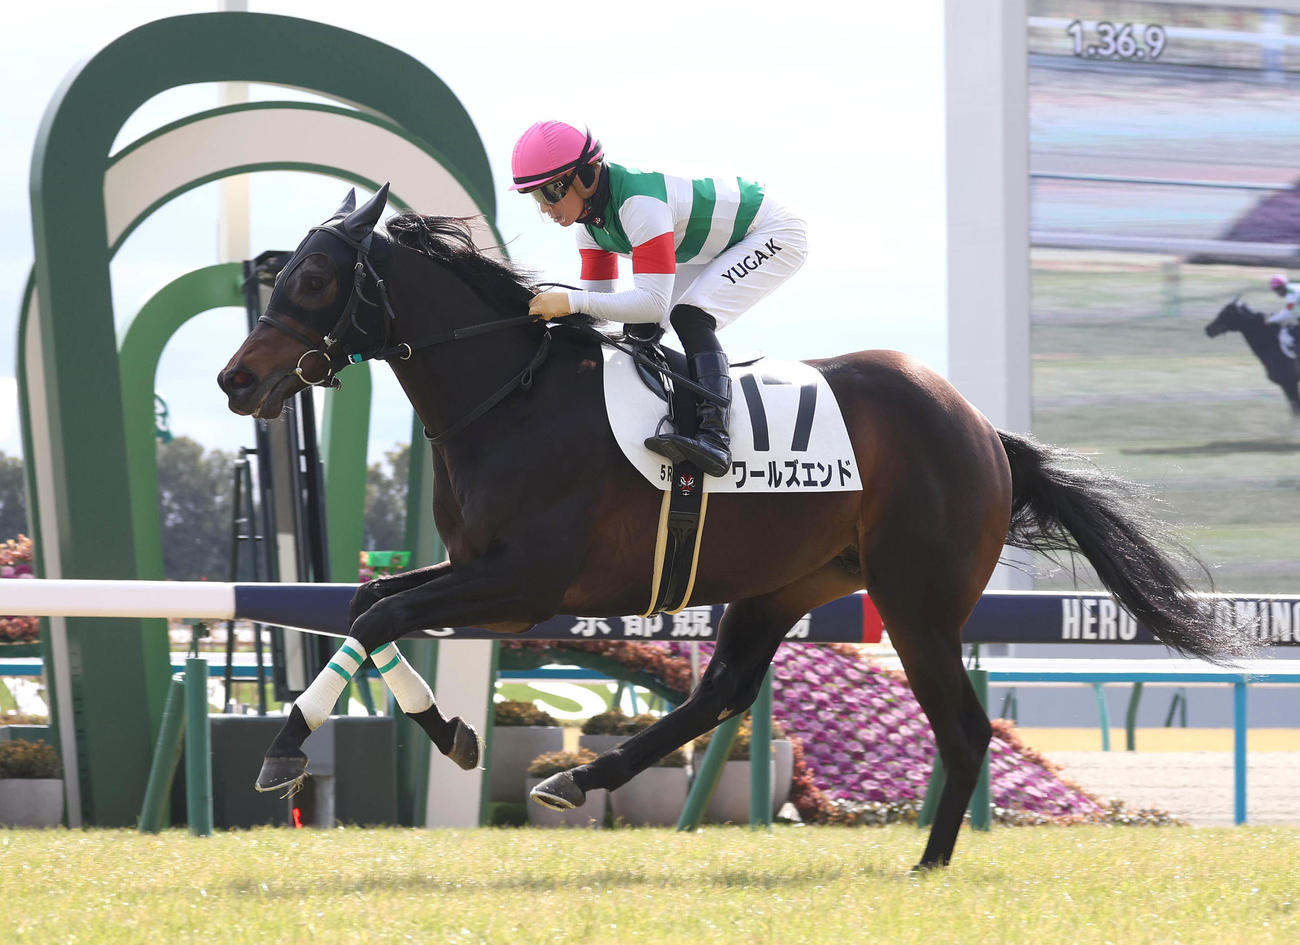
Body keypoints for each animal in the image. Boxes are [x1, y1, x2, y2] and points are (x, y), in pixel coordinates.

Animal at [218, 186, 1253, 869]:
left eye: (316, 275)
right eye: (283, 270)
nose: (236, 378)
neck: (508, 396)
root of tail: (981, 430)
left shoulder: (526, 581)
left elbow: (379, 615)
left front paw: (288, 749)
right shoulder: (479, 572)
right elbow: (367, 603)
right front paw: (450, 732)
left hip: (917, 602)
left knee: (962, 730)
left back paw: (930, 863)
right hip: (790, 582)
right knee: (723, 690)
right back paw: (577, 778)